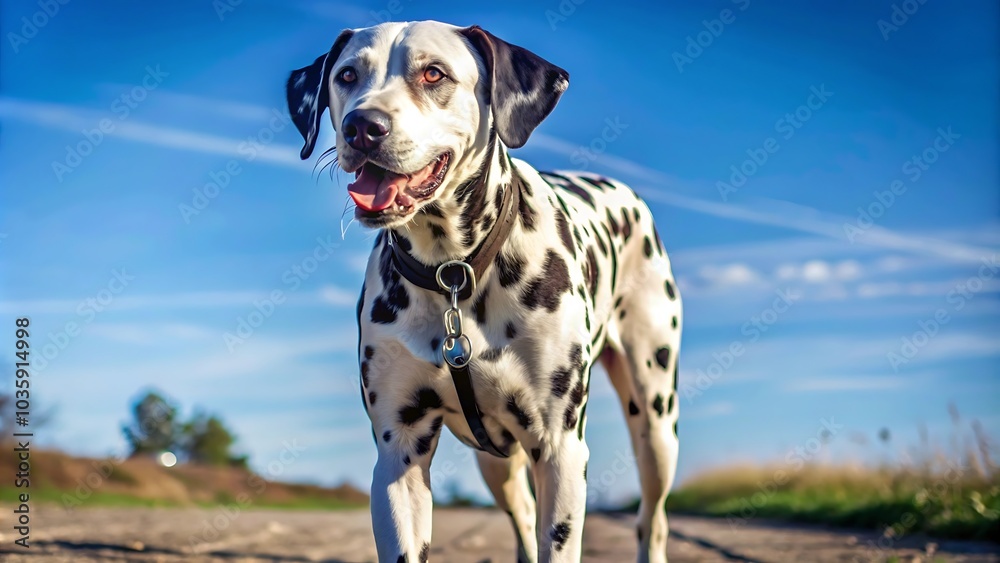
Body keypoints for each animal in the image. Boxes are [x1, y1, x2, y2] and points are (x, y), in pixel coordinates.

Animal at [286, 19, 684, 560]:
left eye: (434, 73)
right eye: (347, 75)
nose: (362, 127)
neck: (453, 271)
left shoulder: (560, 449)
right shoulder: (398, 452)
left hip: (656, 421)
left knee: (653, 517)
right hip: (496, 463)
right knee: (523, 521)